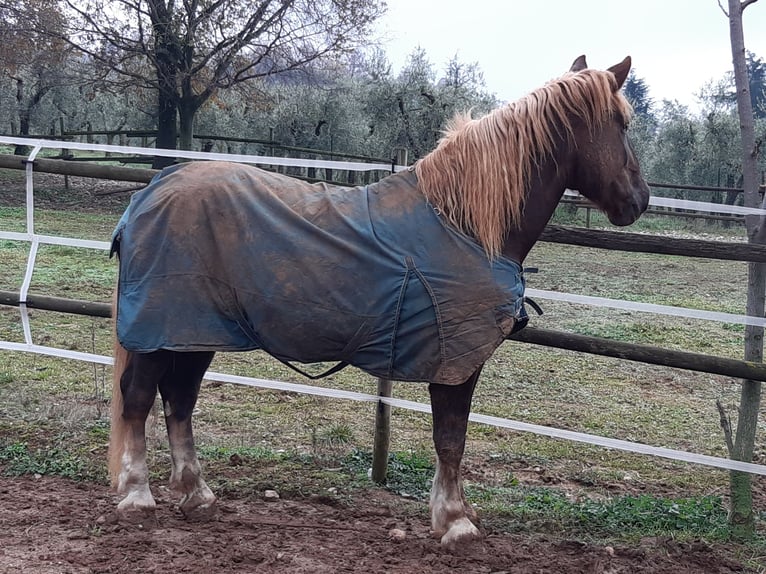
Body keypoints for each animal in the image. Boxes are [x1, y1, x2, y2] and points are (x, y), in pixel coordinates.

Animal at [106, 56, 648, 548]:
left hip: (192, 331)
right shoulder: (457, 363)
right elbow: (451, 438)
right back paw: (137, 497)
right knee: (139, 398)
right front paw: (456, 522)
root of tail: (149, 194)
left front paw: (454, 512)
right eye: (622, 124)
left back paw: (197, 496)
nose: (639, 200)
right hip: (162, 332)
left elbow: (451, 439)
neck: (467, 226)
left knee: (179, 399)